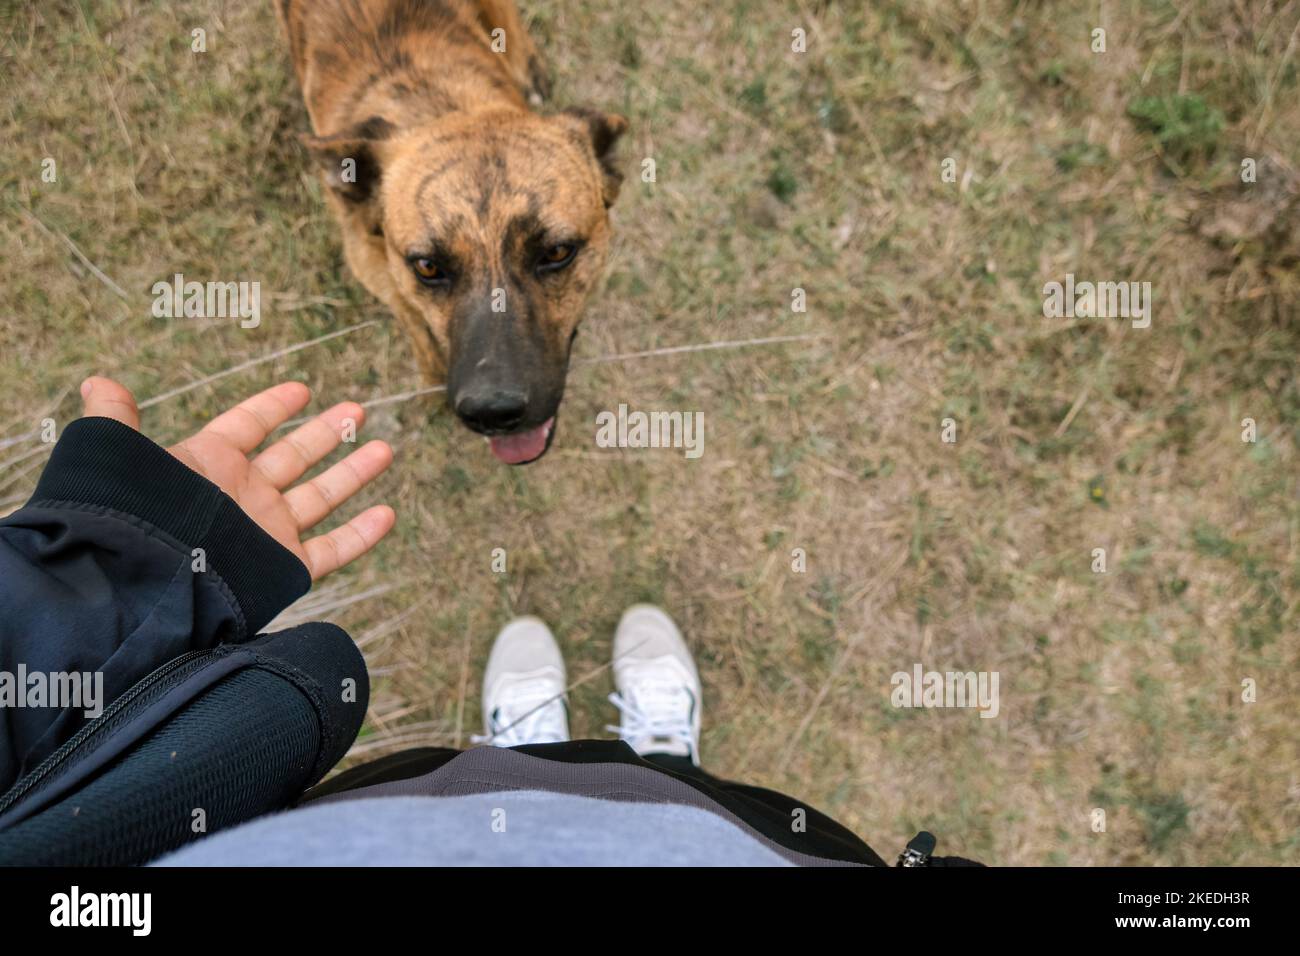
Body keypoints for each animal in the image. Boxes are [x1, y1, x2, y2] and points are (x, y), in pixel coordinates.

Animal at [276, 0, 626, 463]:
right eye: (427, 266)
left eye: (556, 252)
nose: (494, 412)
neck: (437, 102)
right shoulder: (382, 277)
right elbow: (416, 327)